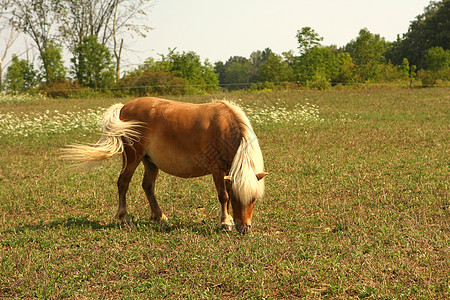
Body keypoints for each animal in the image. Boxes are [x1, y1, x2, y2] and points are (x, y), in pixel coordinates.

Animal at [63, 98, 268, 234]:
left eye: (253, 199)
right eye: (237, 197)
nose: (244, 228)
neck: (225, 128)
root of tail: (124, 107)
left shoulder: (226, 171)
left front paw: (228, 220)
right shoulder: (217, 169)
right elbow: (223, 196)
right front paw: (226, 222)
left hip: (150, 162)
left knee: (148, 186)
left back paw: (159, 216)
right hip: (132, 157)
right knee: (123, 183)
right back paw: (123, 218)